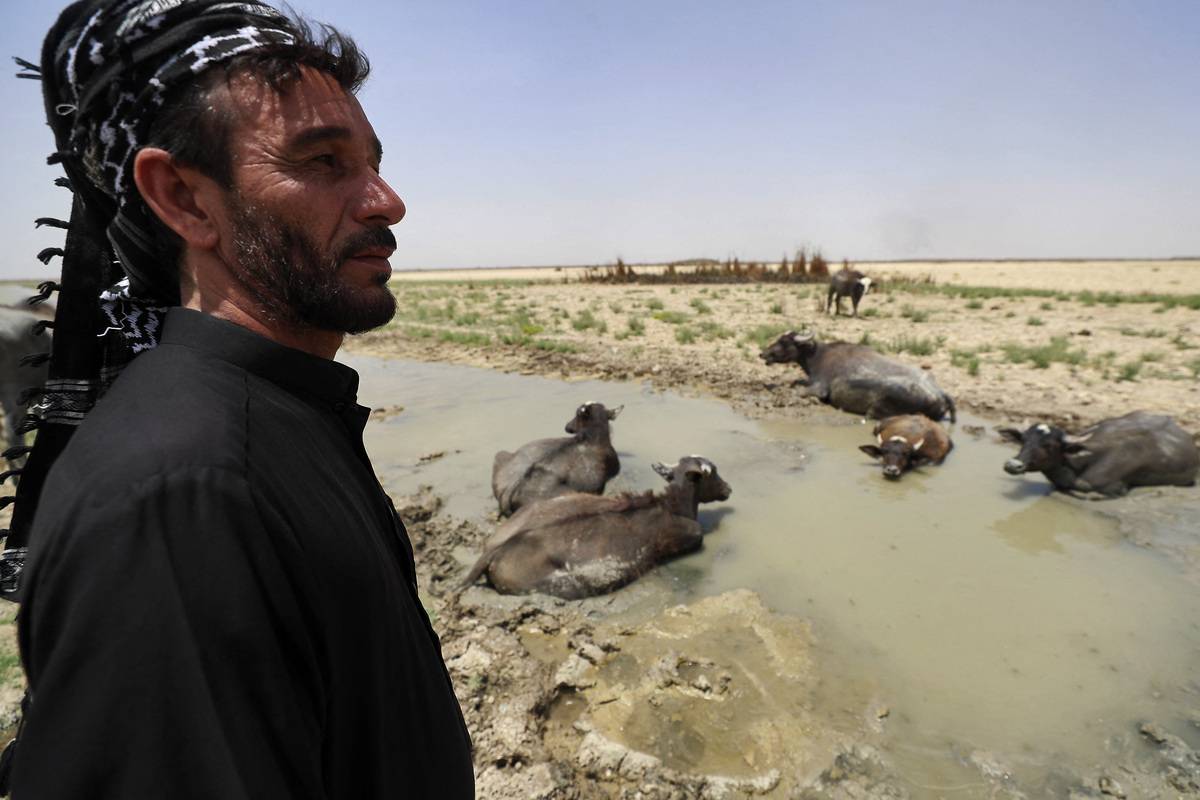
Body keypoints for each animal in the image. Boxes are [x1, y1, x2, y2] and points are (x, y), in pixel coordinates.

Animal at [465, 455, 734, 599]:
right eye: (713, 473)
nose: (729, 488)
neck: (672, 506)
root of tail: (493, 550)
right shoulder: (692, 536)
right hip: (563, 585)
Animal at [768, 331, 955, 422]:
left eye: (784, 341)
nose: (764, 353)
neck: (818, 356)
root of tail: (939, 394)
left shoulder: (820, 388)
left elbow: (798, 390)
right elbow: (795, 382)